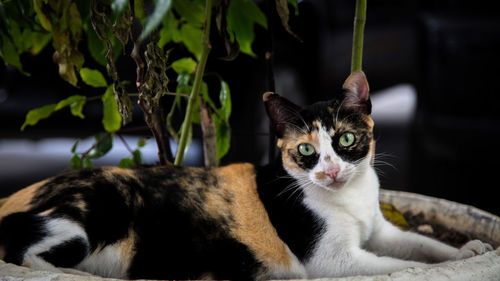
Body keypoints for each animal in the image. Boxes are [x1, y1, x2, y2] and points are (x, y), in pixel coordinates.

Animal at [0, 70, 492, 278]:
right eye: (306, 150)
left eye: (346, 139)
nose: (331, 170)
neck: (350, 198)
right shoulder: (333, 262)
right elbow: (402, 264)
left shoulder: (381, 230)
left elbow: (421, 244)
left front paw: (469, 249)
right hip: (96, 210)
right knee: (23, 252)